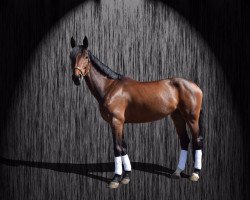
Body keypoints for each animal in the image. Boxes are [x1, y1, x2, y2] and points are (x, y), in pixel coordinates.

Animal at [69, 36, 203, 188]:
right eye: (71, 56)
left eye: (86, 57)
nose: (76, 78)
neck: (110, 87)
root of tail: (195, 86)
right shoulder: (119, 123)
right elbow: (124, 147)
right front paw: (126, 176)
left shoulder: (116, 122)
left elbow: (117, 148)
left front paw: (115, 179)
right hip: (177, 117)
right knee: (184, 140)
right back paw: (177, 172)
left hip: (192, 118)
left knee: (197, 141)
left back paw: (195, 174)